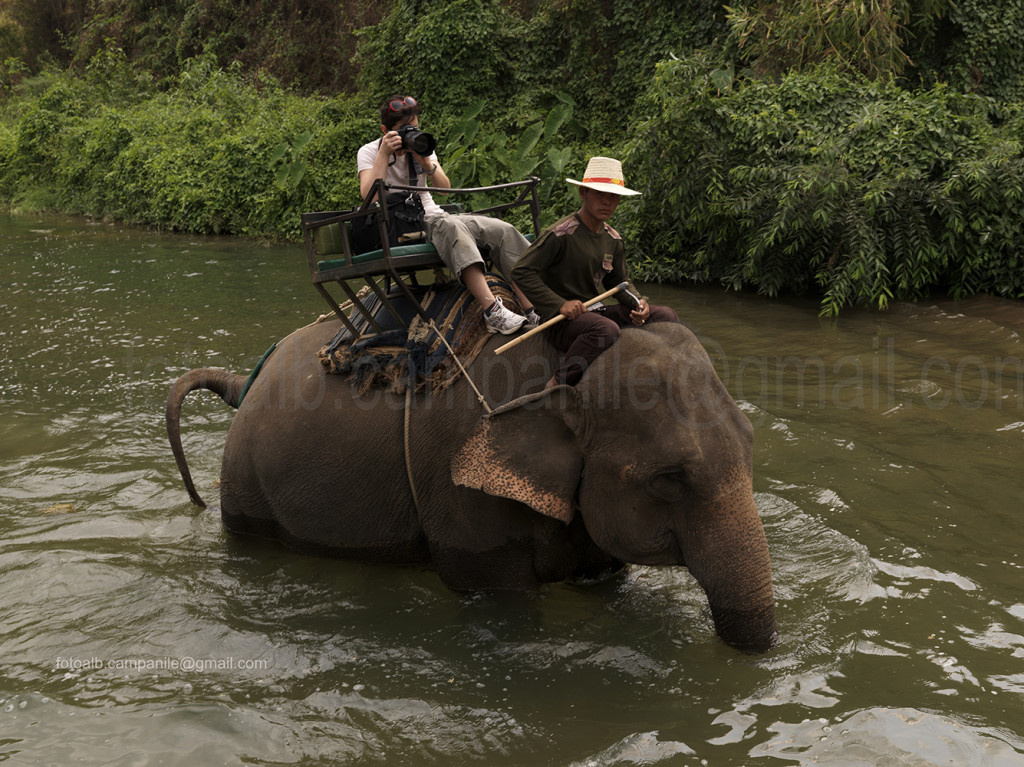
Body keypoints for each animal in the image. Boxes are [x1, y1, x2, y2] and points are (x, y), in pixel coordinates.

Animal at [167, 313, 774, 651]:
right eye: (670, 479)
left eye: (750, 445)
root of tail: (248, 380)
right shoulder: (463, 496)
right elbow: (501, 598)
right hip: (245, 486)